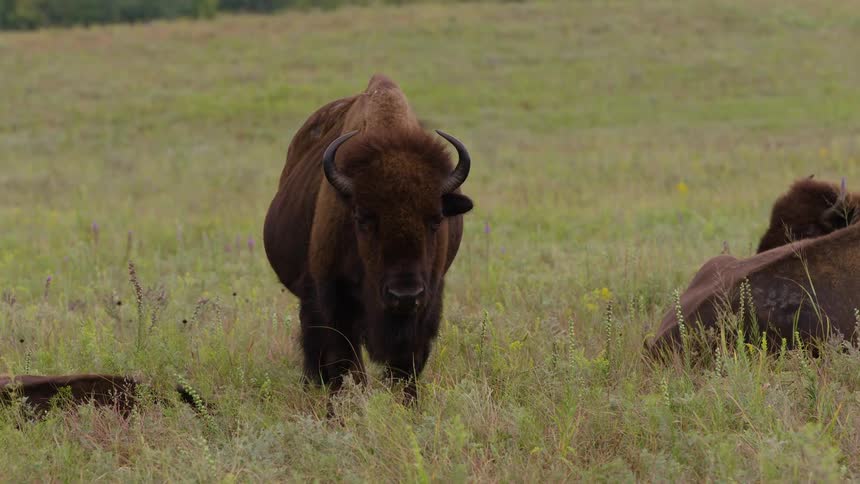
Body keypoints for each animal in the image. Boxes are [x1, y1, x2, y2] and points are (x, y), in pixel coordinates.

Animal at [263, 75, 473, 401]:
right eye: (363, 218)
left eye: (436, 219)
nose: (404, 295)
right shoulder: (333, 300)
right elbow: (343, 360)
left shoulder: (428, 302)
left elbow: (407, 364)